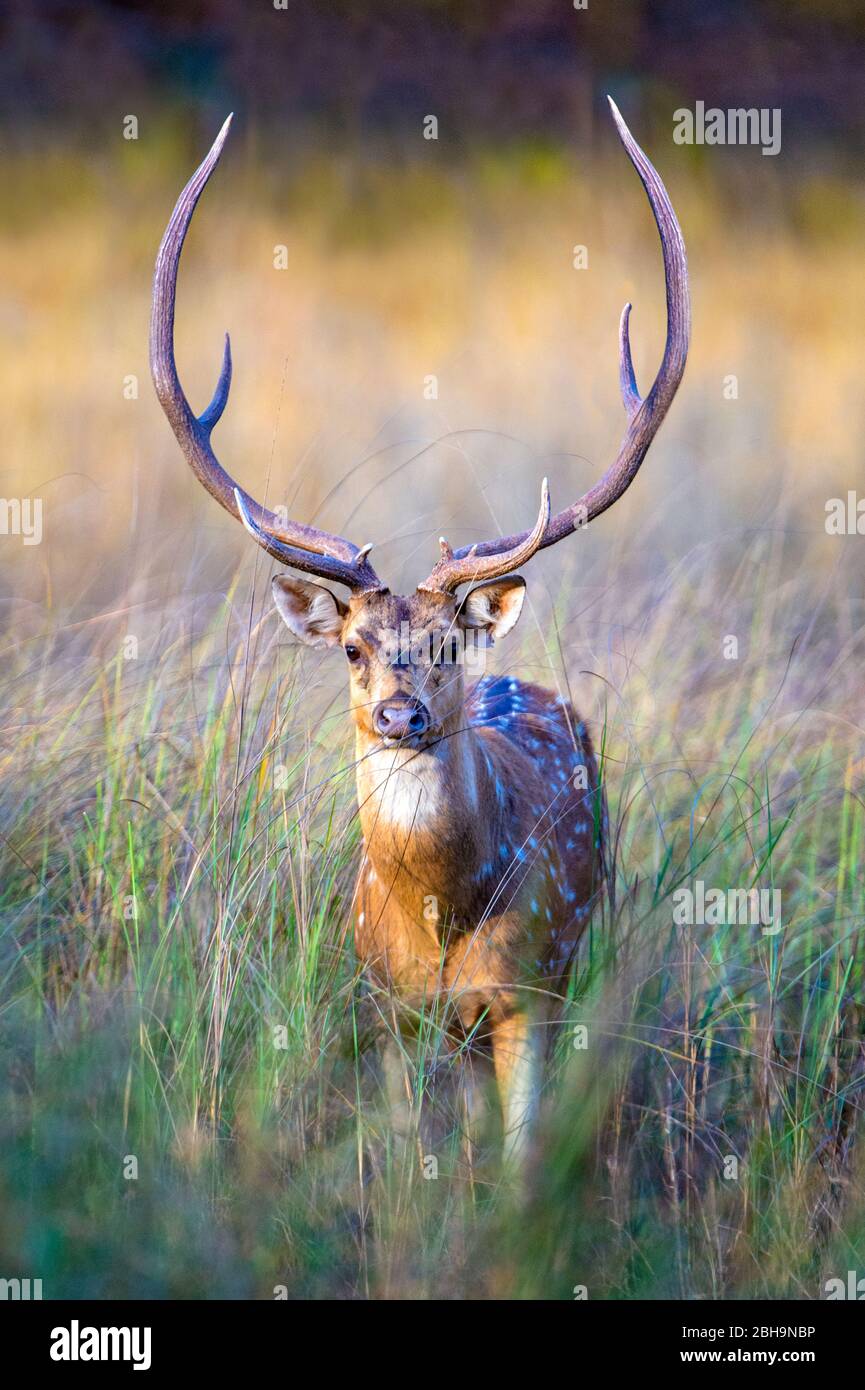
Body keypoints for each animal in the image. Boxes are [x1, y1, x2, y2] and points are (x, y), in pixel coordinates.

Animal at [148, 100, 692, 1162]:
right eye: (353, 648)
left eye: (449, 644)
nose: (399, 716)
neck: (439, 921)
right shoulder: (386, 1002)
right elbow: (411, 1148)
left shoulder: (527, 991)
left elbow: (521, 1158)